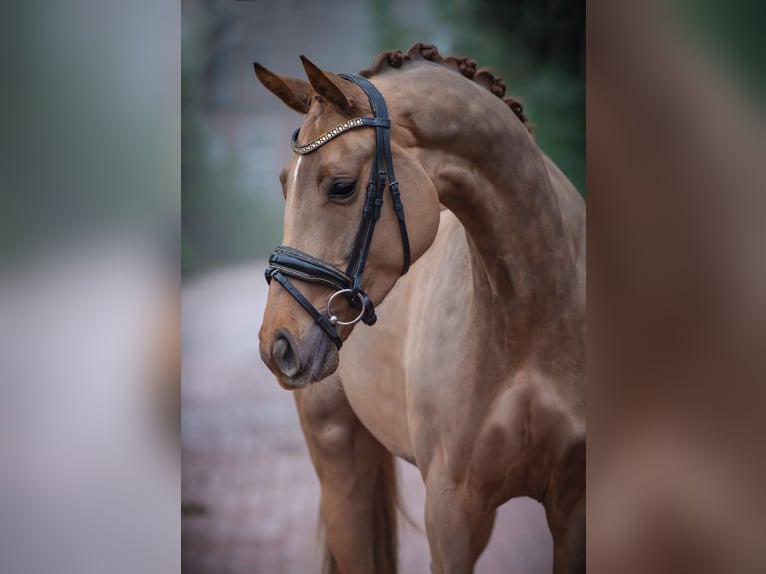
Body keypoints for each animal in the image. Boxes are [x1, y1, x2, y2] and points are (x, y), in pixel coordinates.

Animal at [255, 42, 584, 572]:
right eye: (285, 184)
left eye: (341, 185)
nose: (277, 344)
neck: (532, 317)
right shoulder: (452, 510)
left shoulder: (573, 507)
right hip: (340, 467)